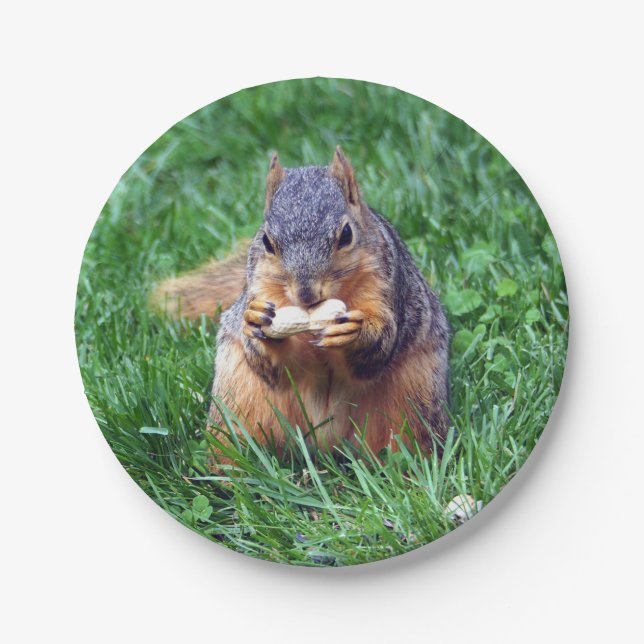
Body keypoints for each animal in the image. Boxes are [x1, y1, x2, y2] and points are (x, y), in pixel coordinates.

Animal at [152, 147, 450, 462]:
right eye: (266, 241)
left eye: (346, 235)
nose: (307, 294)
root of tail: (324, 445)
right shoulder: (260, 285)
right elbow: (274, 366)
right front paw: (257, 321)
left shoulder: (386, 286)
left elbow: (378, 348)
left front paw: (354, 332)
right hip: (240, 401)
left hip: (411, 400)